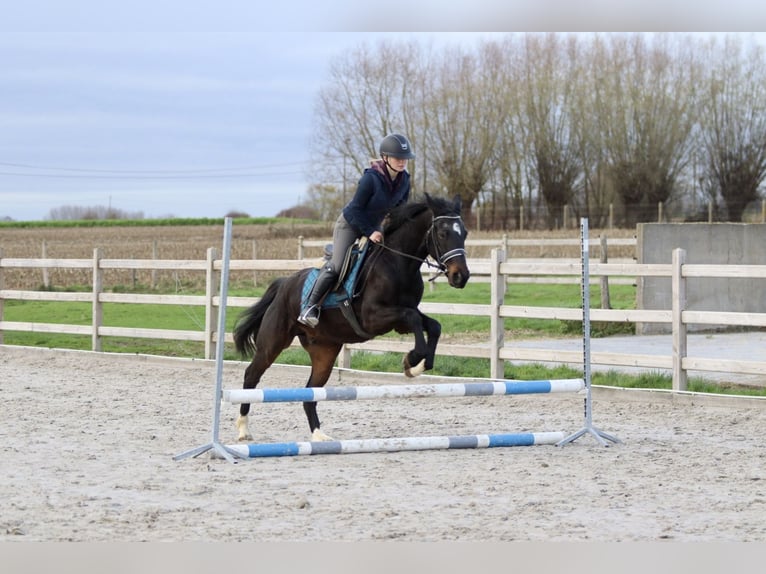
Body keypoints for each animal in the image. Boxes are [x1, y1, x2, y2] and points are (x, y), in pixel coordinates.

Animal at [232, 193, 470, 442]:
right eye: (442, 234)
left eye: (464, 233)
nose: (461, 276)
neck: (398, 264)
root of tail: (284, 284)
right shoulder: (374, 318)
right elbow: (413, 318)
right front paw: (412, 360)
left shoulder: (400, 321)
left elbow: (433, 325)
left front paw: (418, 365)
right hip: (273, 343)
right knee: (251, 375)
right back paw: (243, 429)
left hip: (324, 351)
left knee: (310, 391)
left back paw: (319, 436)